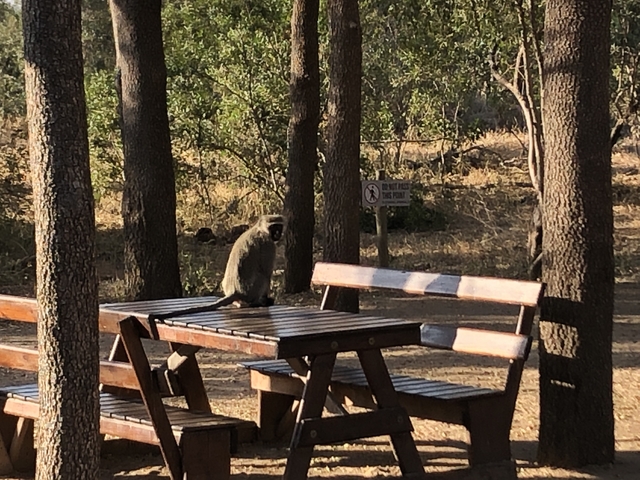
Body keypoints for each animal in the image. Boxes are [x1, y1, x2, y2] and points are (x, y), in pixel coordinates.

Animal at [153, 215, 285, 321]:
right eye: (274, 227)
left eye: (279, 226)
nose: (278, 234)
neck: (260, 229)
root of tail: (234, 292)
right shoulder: (268, 244)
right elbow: (267, 273)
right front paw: (266, 299)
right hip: (251, 291)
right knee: (263, 277)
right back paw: (257, 302)